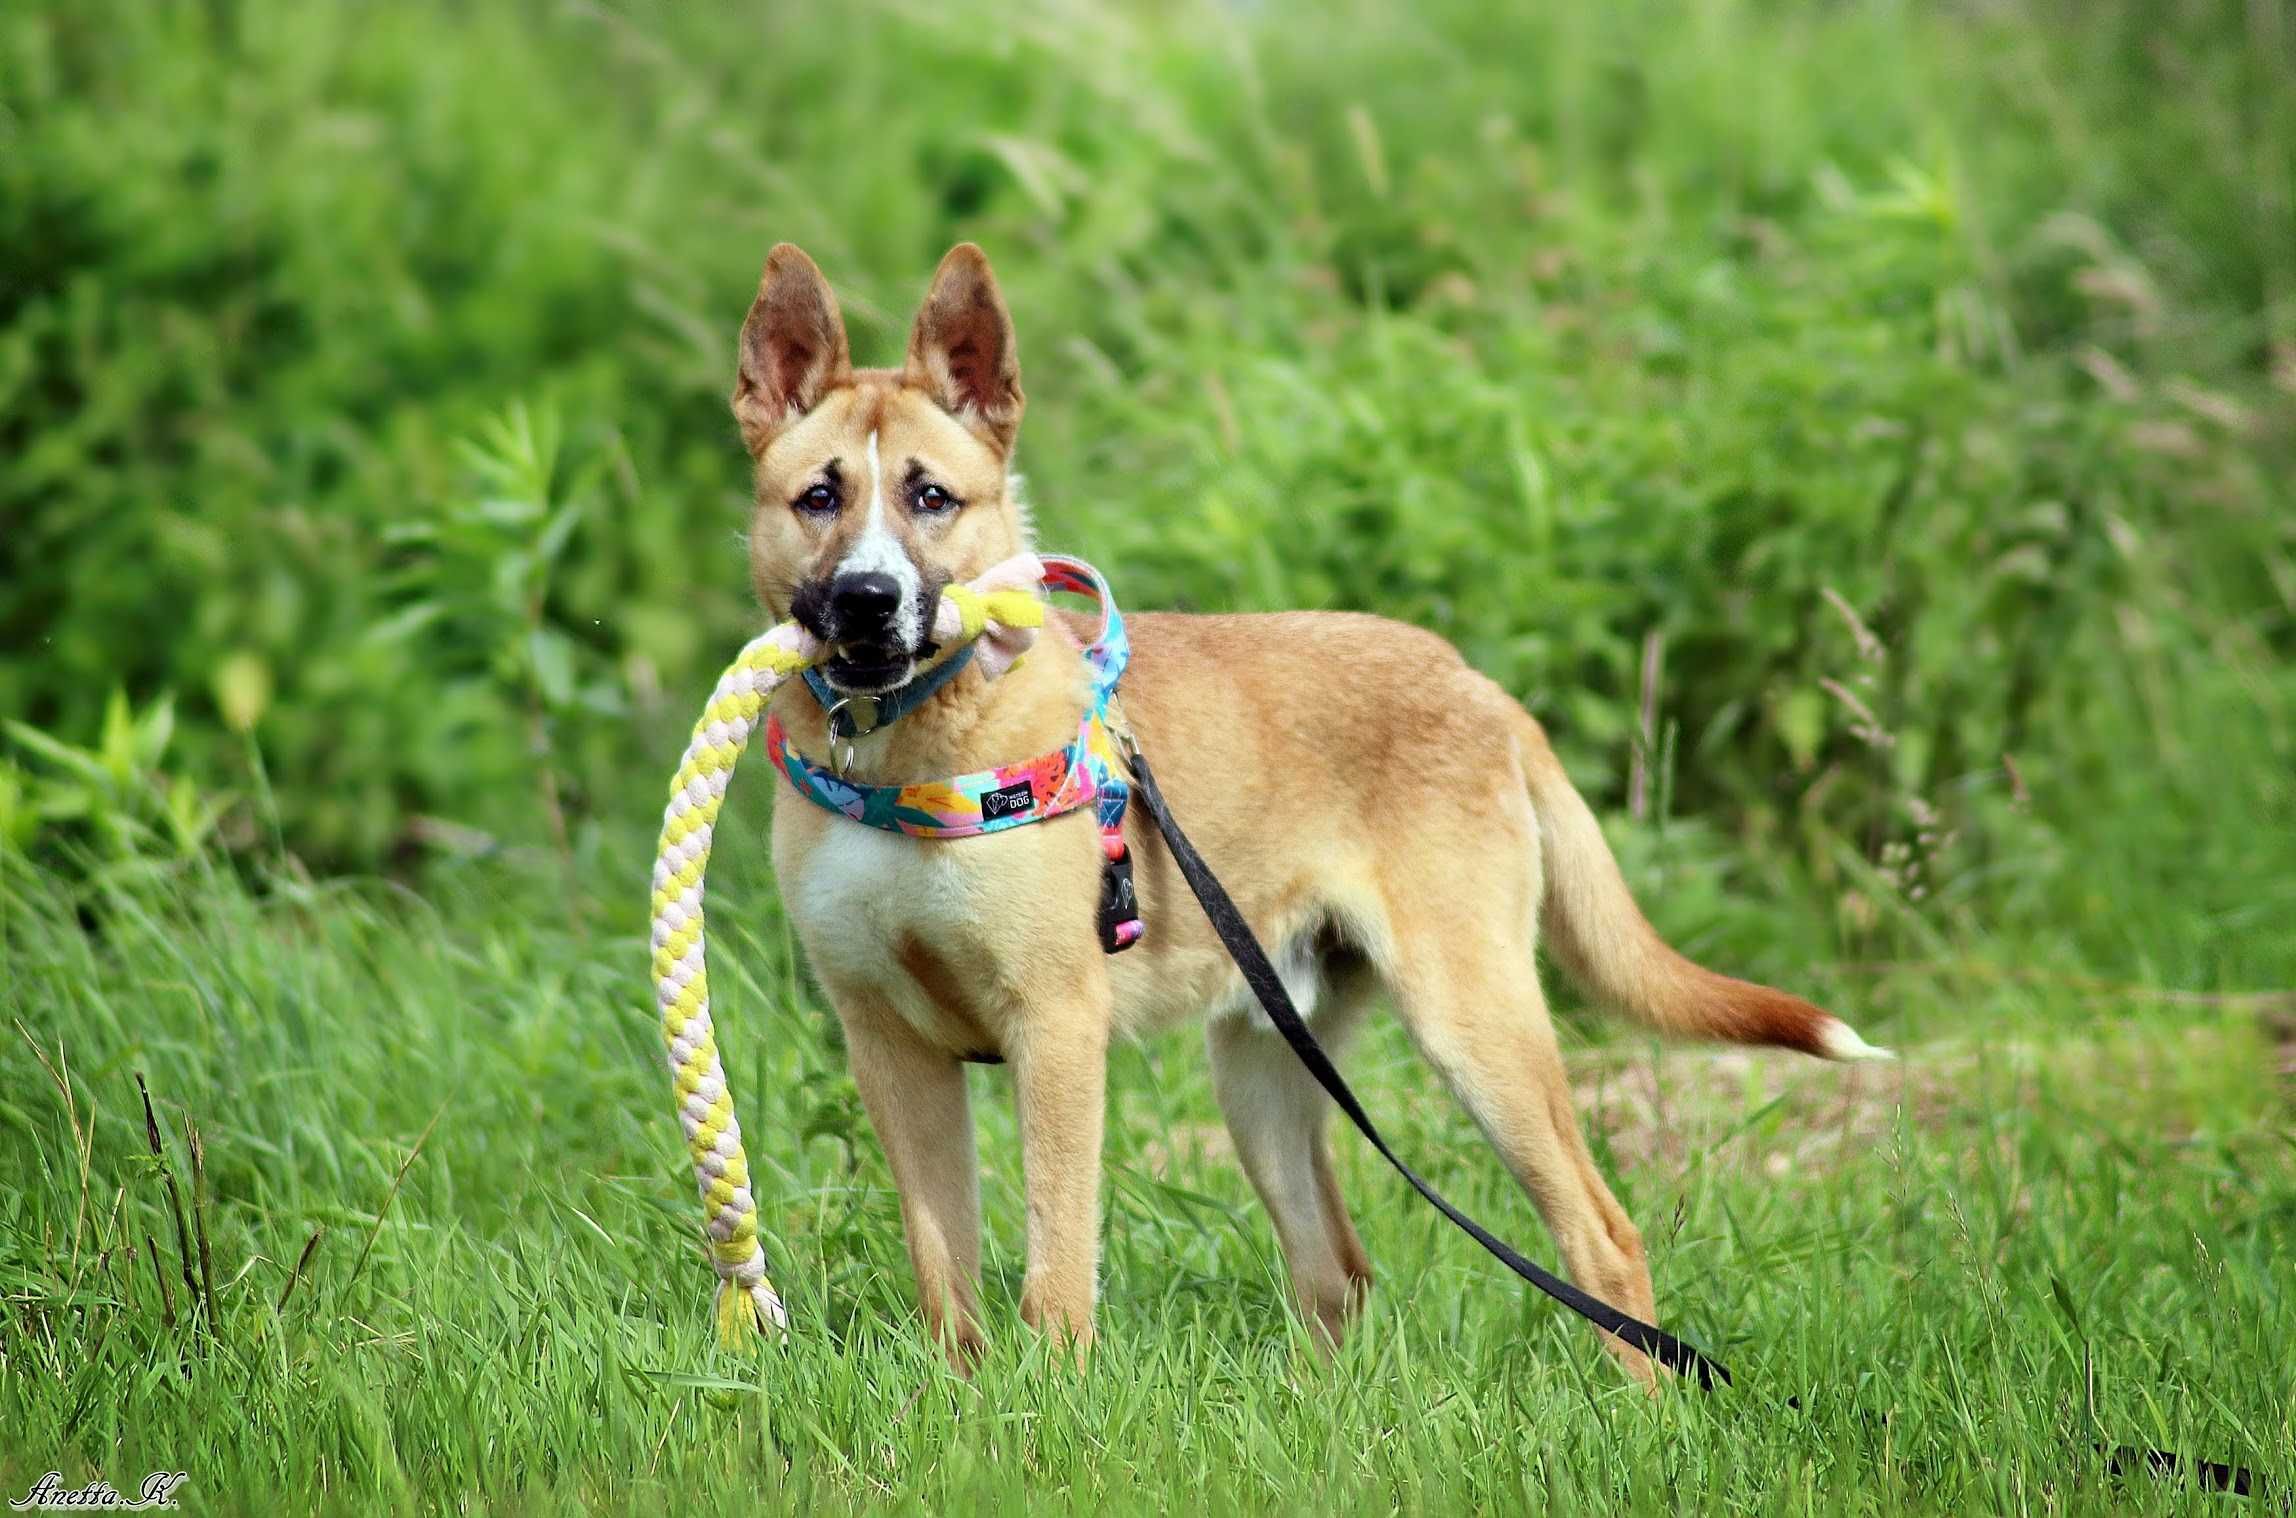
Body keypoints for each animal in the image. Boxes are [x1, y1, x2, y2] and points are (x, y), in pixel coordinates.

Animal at [734, 239, 1882, 1387]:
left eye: (931, 495)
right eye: (819, 496)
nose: (869, 602)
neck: (903, 750)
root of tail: (1477, 686)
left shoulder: (1054, 1029)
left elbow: (1056, 1271)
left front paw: (1049, 1400)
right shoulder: (890, 1046)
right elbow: (946, 1280)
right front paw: (963, 1400)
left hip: (1474, 1027)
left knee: (1602, 1239)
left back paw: (1639, 1408)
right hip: (1262, 1068)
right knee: (1340, 1269)